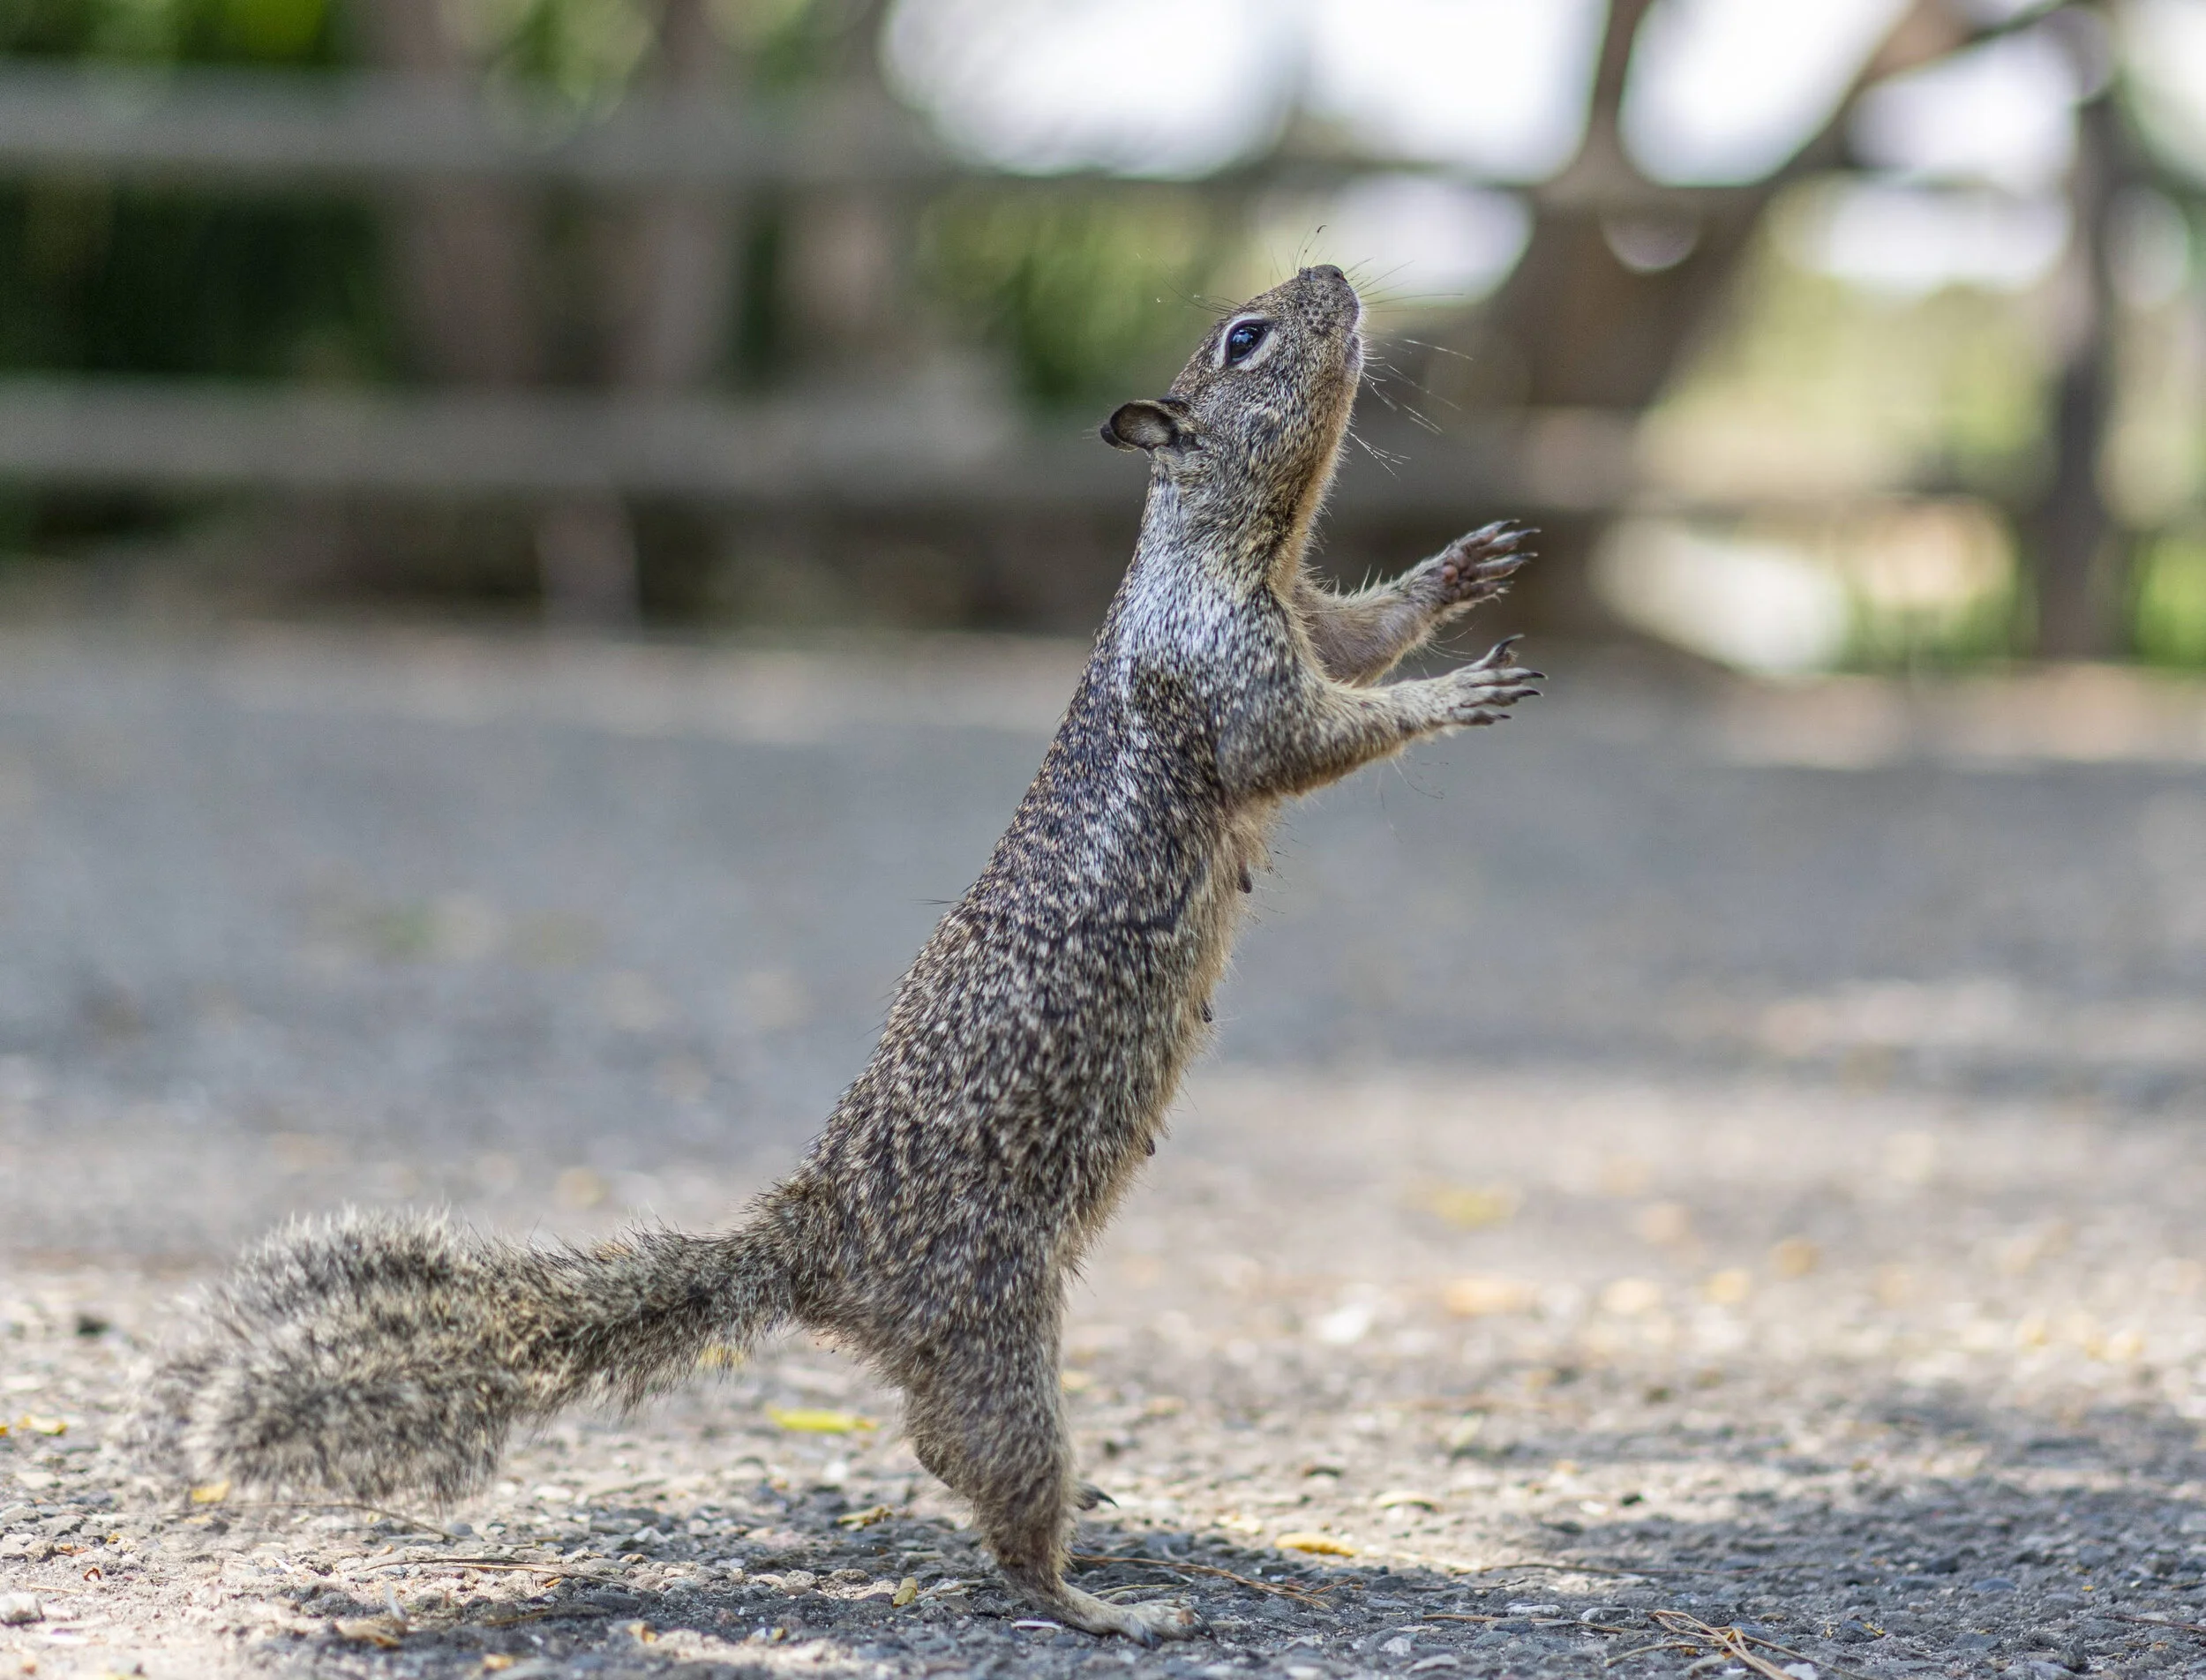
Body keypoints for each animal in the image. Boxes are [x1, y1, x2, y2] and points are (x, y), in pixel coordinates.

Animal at [127, 264, 1537, 1645]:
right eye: (1246, 338)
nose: (1339, 275)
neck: (1231, 551)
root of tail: (821, 1245)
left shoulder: (1302, 618)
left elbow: (1363, 636)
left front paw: (1461, 572)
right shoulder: (1226, 676)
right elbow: (1311, 737)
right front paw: (1455, 695)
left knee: (940, 1454)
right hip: (996, 1331)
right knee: (992, 1483)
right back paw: (1103, 1603)